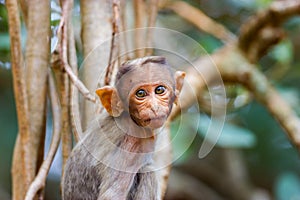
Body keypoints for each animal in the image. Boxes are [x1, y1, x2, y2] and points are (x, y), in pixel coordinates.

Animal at [62, 56, 185, 200]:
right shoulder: (133, 144)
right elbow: (111, 195)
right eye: (140, 93)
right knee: (148, 171)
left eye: (159, 90)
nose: (154, 107)